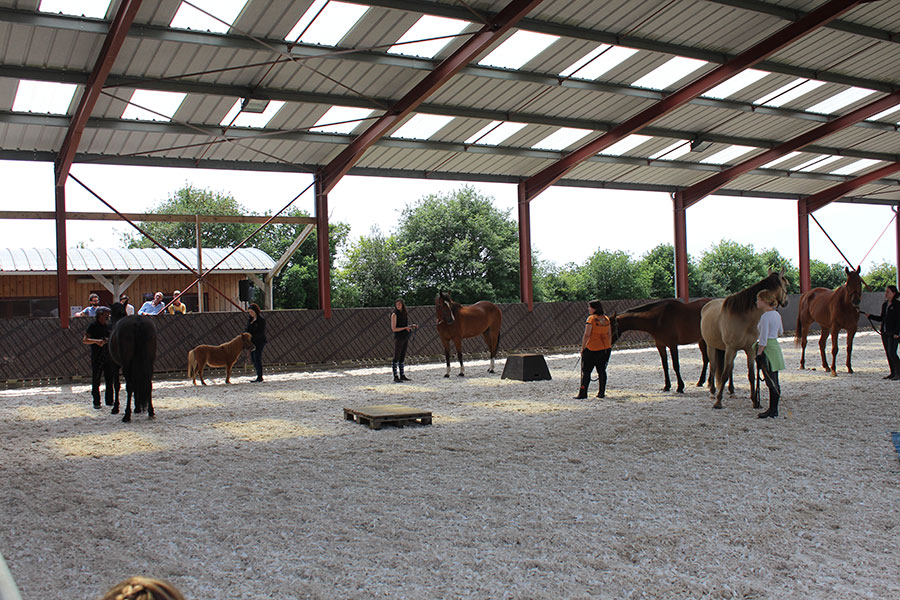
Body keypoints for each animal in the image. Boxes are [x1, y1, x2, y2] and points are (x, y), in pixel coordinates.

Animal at [700, 270, 792, 408]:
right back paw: (712, 392)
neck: (743, 317)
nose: (786, 302)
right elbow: (724, 374)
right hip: (712, 347)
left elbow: (751, 375)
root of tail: (707, 305)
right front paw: (718, 401)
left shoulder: (749, 350)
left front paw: (754, 400)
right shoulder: (731, 348)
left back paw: (731, 391)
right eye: (786, 284)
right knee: (714, 366)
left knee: (730, 368)